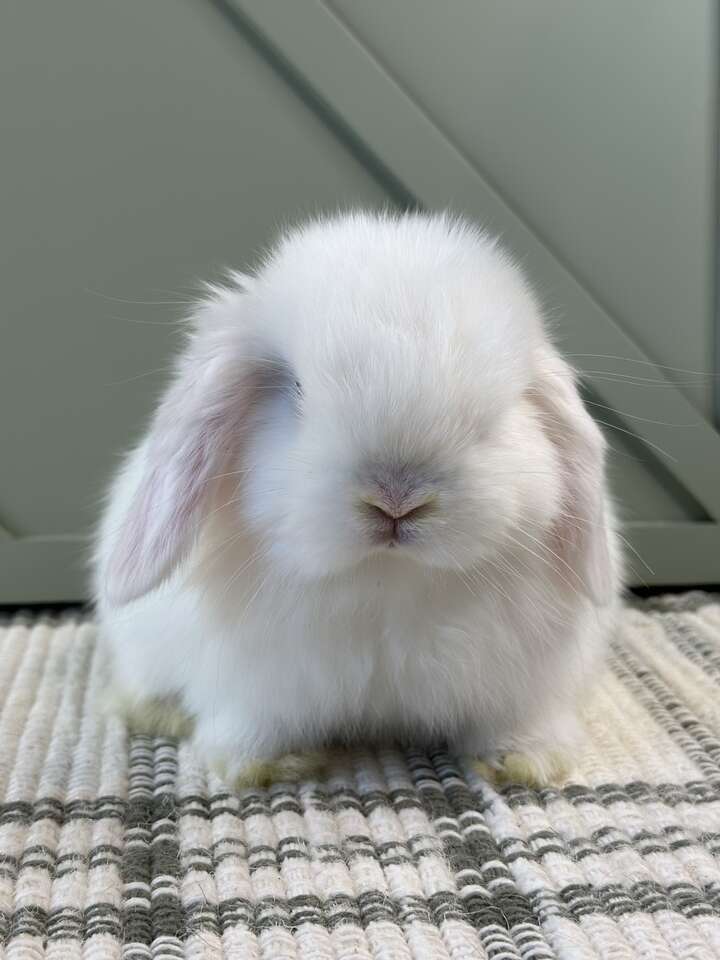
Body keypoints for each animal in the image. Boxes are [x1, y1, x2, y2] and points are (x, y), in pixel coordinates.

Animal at [94, 210, 620, 788]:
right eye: (297, 390)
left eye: (502, 410)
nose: (396, 499)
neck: (386, 581)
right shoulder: (259, 685)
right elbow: (258, 723)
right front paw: (266, 765)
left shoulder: (521, 686)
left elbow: (513, 724)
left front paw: (525, 763)